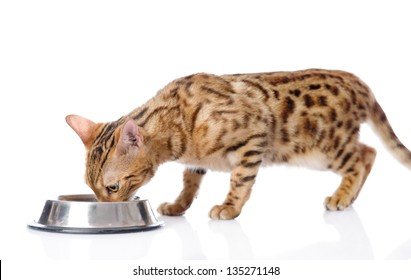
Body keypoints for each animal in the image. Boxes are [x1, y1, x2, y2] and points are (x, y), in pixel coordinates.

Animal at [66, 69, 410, 220]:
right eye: (92, 189)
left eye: (112, 187)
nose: (104, 207)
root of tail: (359, 83)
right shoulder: (195, 162)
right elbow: (189, 184)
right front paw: (178, 205)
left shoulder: (254, 138)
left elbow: (239, 181)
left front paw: (229, 208)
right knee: (368, 152)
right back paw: (349, 197)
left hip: (325, 148)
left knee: (365, 156)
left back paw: (342, 196)